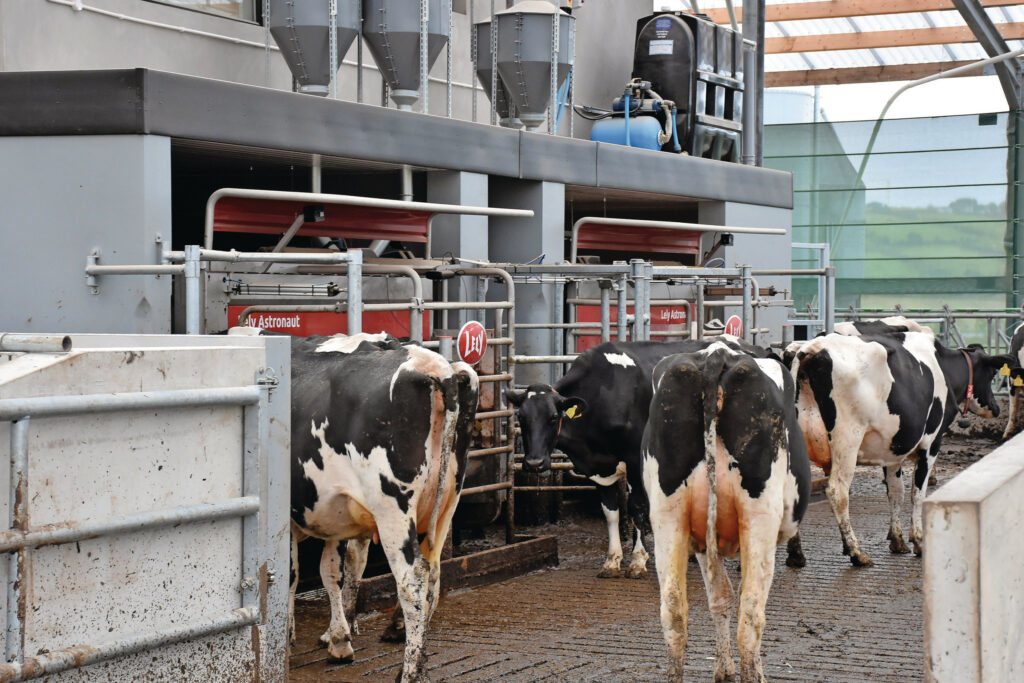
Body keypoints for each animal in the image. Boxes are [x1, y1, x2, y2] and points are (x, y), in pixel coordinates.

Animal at [282, 329, 477, 679]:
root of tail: (437, 368)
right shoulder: (334, 512)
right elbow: (332, 570)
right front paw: (338, 638)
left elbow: (291, 574)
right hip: (446, 503)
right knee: (434, 576)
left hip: (393, 509)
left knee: (412, 580)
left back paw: (409, 672)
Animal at [501, 335, 782, 577]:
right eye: (521, 418)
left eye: (553, 417)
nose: (534, 463)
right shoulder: (599, 466)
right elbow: (611, 511)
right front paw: (612, 560)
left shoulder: (636, 458)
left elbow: (637, 506)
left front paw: (637, 559)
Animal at [643, 344, 811, 679]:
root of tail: (716, 354)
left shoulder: (701, 543)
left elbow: (719, 598)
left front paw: (723, 669)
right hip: (758, 518)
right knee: (751, 614)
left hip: (669, 517)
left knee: (673, 612)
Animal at [790, 331, 1007, 565]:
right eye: (992, 374)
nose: (996, 408)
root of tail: (811, 348)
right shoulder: (931, 443)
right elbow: (917, 493)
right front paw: (919, 541)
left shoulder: (892, 449)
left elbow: (896, 492)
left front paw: (898, 540)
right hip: (847, 440)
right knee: (837, 491)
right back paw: (856, 552)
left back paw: (796, 554)